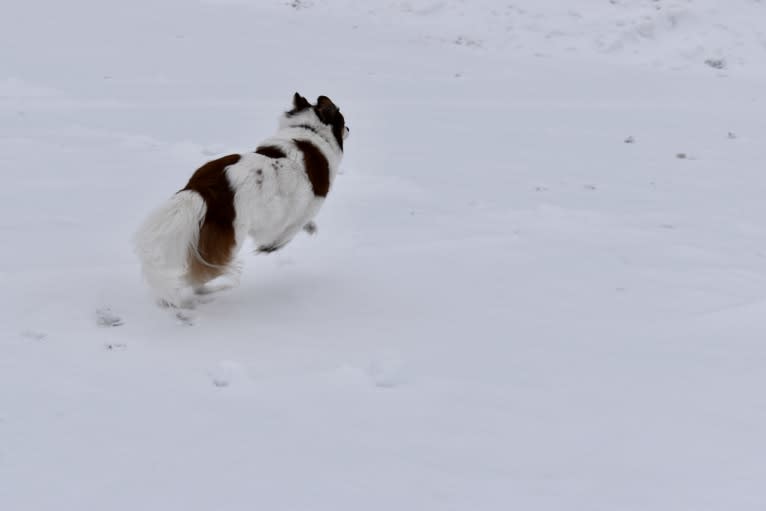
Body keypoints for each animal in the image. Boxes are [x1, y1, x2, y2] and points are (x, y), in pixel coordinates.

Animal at [134, 93, 350, 308]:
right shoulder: (307, 206)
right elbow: (288, 232)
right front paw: (272, 246)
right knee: (198, 275)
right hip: (232, 238)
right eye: (343, 121)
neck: (309, 130)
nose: (349, 129)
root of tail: (202, 189)